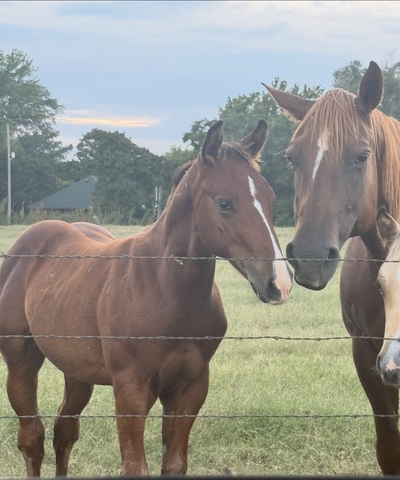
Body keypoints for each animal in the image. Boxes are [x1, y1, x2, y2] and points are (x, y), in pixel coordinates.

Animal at [0, 119, 292, 477]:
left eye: (270, 198)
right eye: (224, 203)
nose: (280, 283)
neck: (166, 292)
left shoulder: (189, 389)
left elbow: (175, 464)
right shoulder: (131, 391)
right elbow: (135, 467)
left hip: (77, 371)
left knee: (64, 430)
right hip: (21, 361)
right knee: (32, 438)